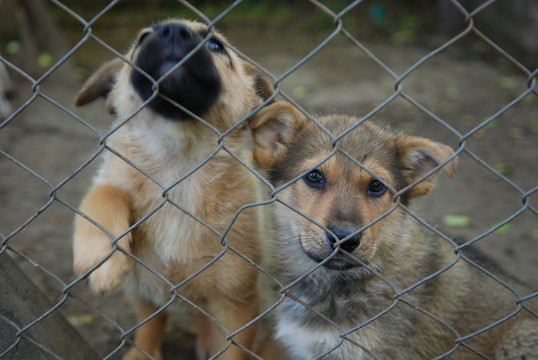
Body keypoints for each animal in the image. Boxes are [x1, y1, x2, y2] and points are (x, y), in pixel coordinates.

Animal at [72, 19, 272, 360]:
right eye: (143, 38)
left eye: (216, 46)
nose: (175, 31)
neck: (176, 167)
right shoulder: (111, 179)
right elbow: (106, 193)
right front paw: (102, 258)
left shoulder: (237, 303)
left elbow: (232, 350)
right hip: (143, 291)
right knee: (153, 321)